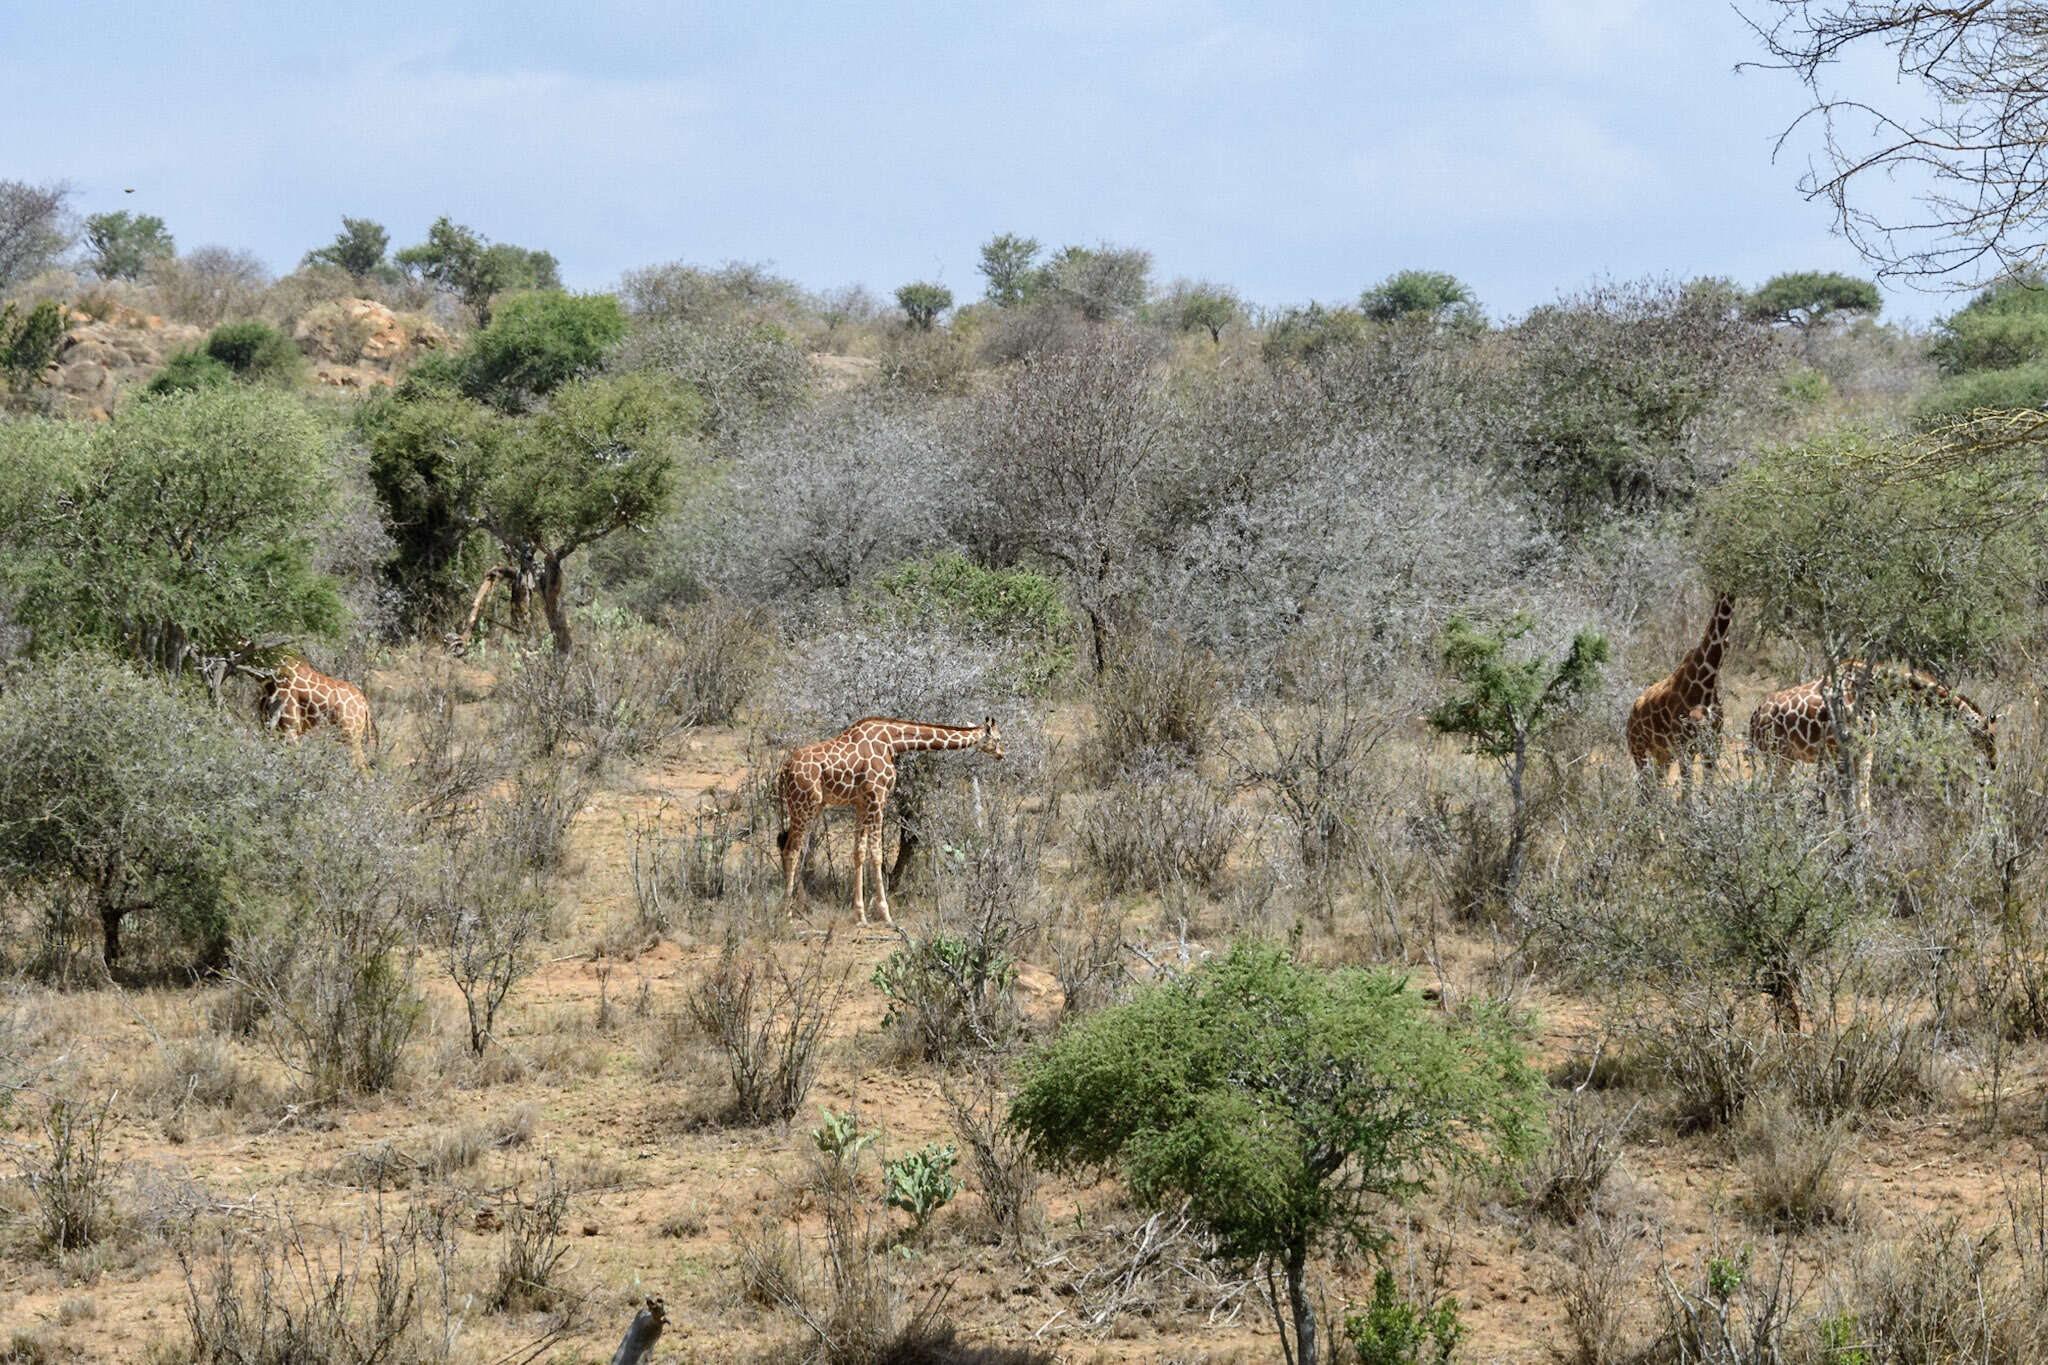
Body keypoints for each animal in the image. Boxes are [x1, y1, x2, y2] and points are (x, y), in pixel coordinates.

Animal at [774, 716, 1007, 929]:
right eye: (997, 738)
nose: (1003, 753)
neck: (893, 741)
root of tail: (784, 769)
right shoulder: (878, 797)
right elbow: (877, 854)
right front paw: (886, 915)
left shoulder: (861, 803)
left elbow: (858, 853)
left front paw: (860, 915)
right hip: (804, 805)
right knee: (791, 851)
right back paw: (787, 914)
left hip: (805, 807)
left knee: (787, 848)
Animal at [1622, 593, 1736, 794]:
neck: (1707, 678)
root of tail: (1630, 716)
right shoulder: (1685, 745)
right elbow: (1686, 794)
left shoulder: (1713, 743)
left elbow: (1706, 791)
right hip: (1638, 748)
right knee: (1644, 786)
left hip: (1663, 754)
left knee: (1653, 785)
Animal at [1744, 663, 1998, 818]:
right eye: (1988, 736)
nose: (1994, 763)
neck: (1872, 691)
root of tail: (1754, 716)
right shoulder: (1840, 751)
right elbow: (1848, 803)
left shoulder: (1865, 749)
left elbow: (1863, 804)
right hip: (1778, 757)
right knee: (1776, 797)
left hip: (1784, 758)